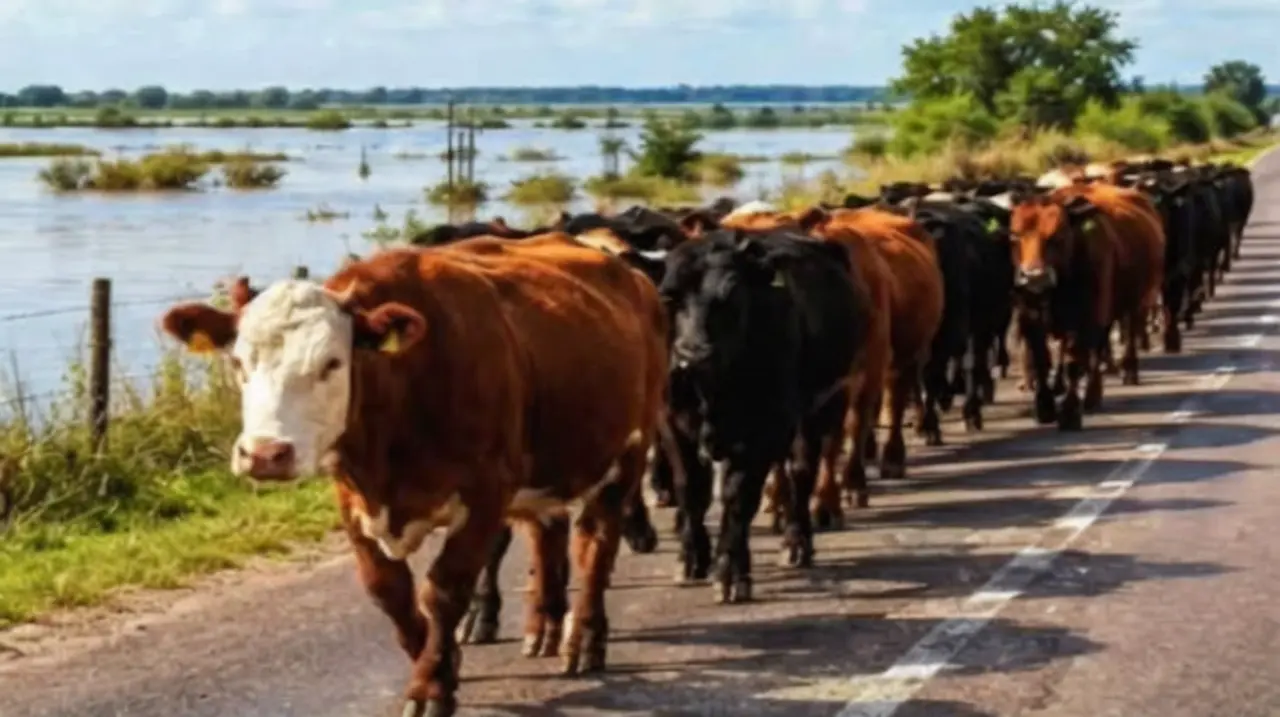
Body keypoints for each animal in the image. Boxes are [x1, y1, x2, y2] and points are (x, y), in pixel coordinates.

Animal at [159, 234, 669, 717]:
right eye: (239, 362)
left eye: (332, 363)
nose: (265, 453)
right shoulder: (352, 500)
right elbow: (390, 592)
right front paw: (441, 661)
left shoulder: (485, 495)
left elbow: (443, 591)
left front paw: (431, 686)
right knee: (548, 535)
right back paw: (542, 626)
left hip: (628, 455)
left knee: (594, 546)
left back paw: (584, 639)